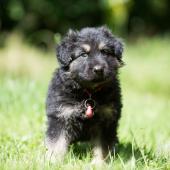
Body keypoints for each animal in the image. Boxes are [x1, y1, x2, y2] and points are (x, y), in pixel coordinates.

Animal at [45, 26, 124, 163]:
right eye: (83, 55)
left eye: (105, 52)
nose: (98, 69)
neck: (88, 93)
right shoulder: (61, 116)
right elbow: (57, 143)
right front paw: (53, 162)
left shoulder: (106, 121)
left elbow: (102, 147)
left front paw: (99, 164)